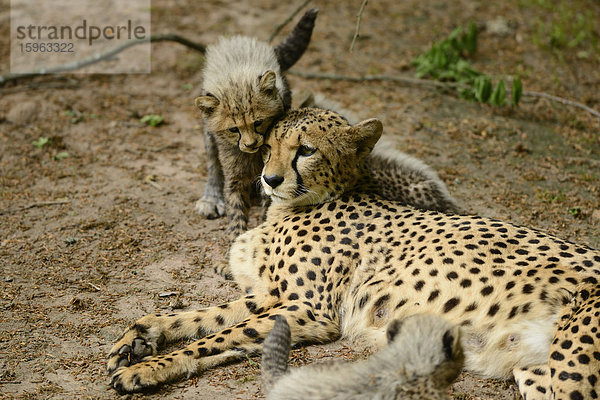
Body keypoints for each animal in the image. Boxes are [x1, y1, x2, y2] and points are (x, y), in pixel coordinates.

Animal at [109, 108, 600, 398]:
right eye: (268, 147)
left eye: (305, 150)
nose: (269, 178)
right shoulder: (272, 295)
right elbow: (200, 320)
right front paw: (140, 340)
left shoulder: (309, 311)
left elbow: (220, 334)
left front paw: (146, 367)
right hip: (534, 367)